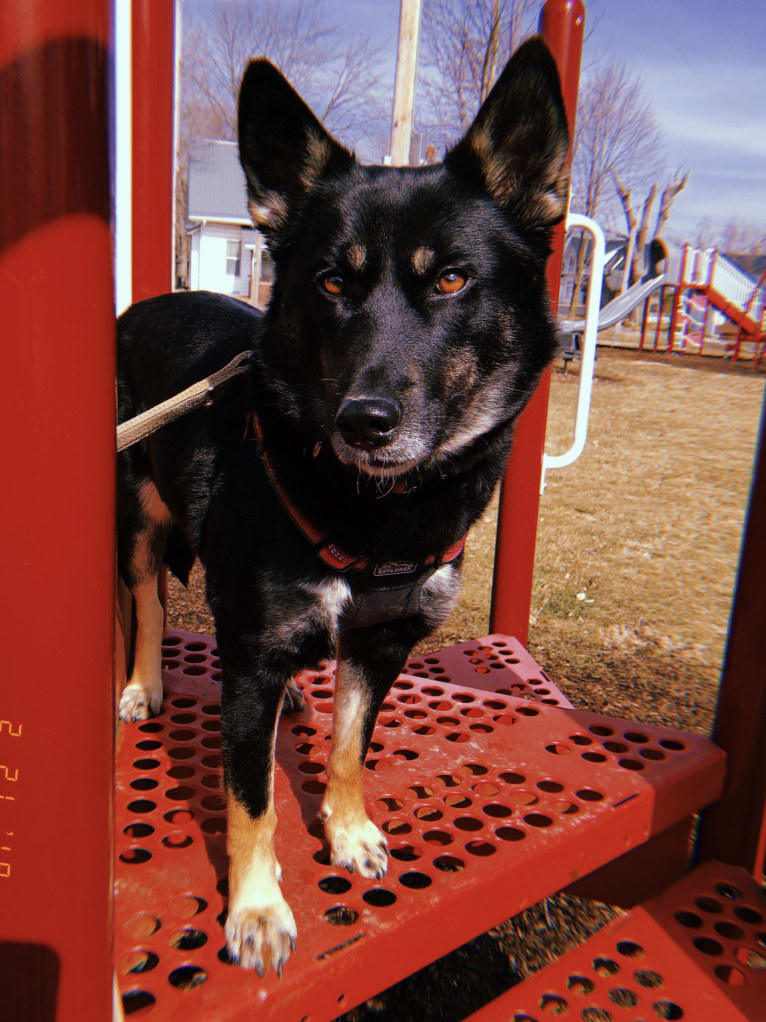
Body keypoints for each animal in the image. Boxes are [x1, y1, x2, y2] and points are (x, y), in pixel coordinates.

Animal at [115, 37, 571, 972]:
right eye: (330, 283)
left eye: (453, 280)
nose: (364, 421)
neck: (380, 510)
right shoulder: (252, 656)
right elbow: (251, 799)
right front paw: (256, 908)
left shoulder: (383, 642)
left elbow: (353, 746)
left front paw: (350, 828)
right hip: (138, 516)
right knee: (147, 601)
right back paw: (143, 684)